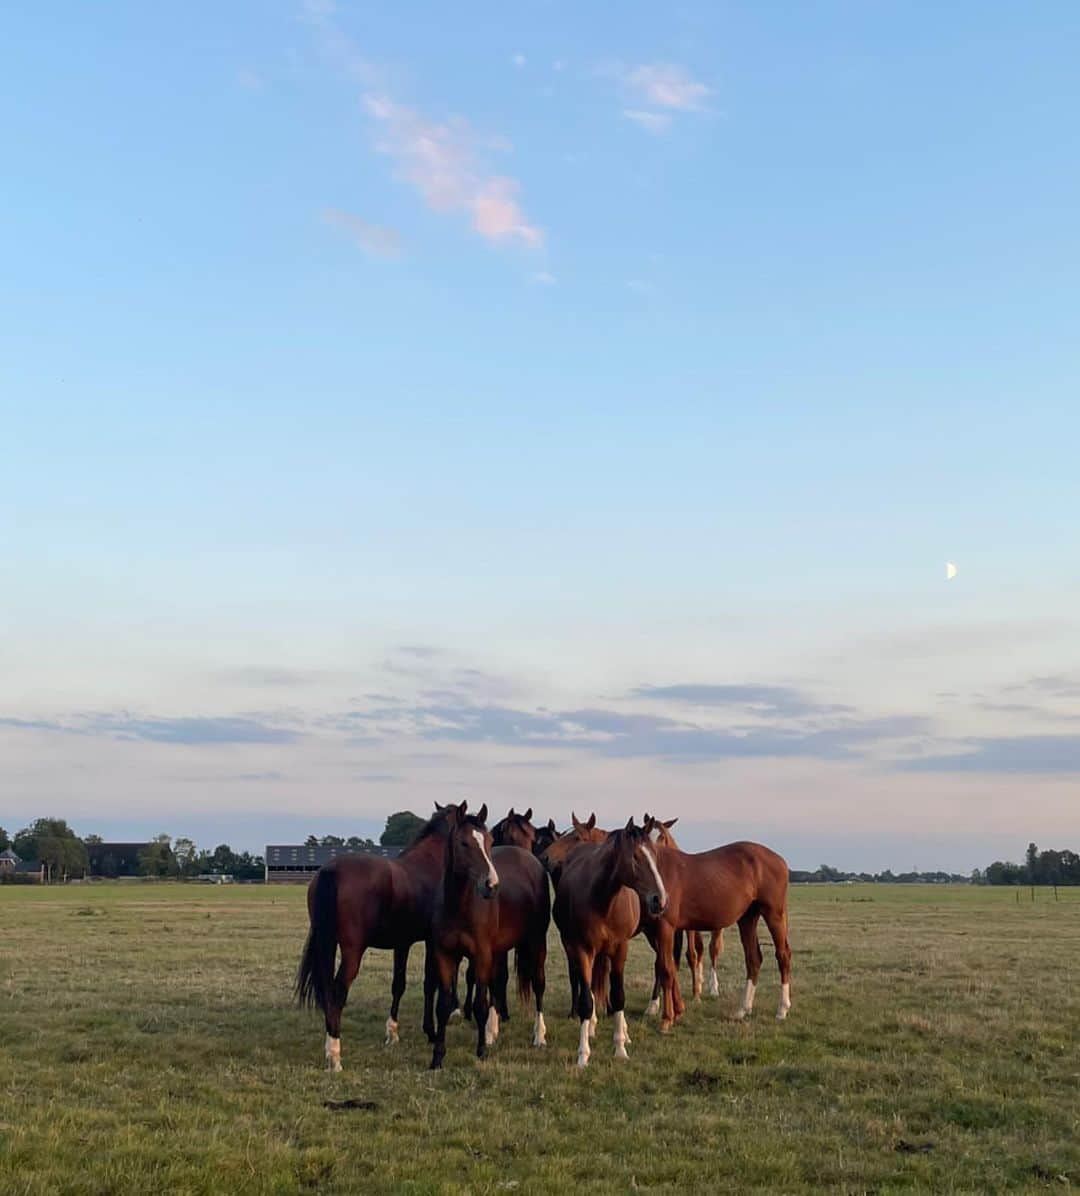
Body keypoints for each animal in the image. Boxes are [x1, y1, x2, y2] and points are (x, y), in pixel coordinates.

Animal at [297, 798, 459, 1071]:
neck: (430, 862)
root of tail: (332, 870)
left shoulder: (402, 943)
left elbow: (398, 985)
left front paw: (392, 1034)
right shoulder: (430, 942)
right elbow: (429, 983)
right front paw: (430, 1032)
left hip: (326, 944)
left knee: (328, 991)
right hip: (352, 950)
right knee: (338, 991)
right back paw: (335, 1055)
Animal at [428, 803, 552, 1066]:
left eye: (488, 841)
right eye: (464, 843)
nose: (492, 885)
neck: (459, 906)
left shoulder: (482, 954)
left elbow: (480, 1004)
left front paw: (482, 1050)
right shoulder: (445, 954)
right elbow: (443, 1005)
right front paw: (437, 1057)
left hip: (536, 942)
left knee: (538, 984)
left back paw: (539, 1035)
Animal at [631, 818, 794, 1033]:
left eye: (663, 837)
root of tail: (779, 860)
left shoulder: (666, 927)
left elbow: (666, 966)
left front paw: (667, 1017)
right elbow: (668, 965)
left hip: (774, 914)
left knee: (782, 955)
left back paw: (782, 1009)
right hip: (748, 918)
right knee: (754, 959)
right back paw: (743, 1009)